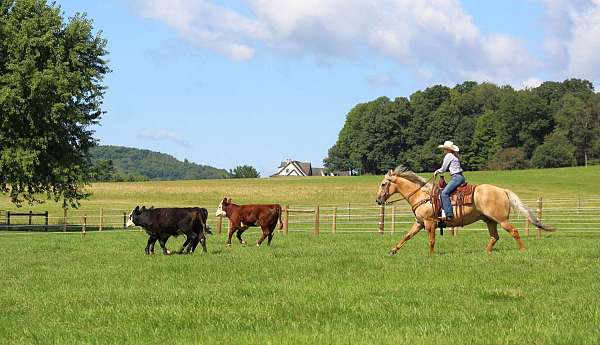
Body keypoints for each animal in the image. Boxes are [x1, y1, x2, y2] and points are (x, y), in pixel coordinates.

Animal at [376, 165, 552, 254]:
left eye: (384, 184)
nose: (378, 200)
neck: (422, 195)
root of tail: (502, 190)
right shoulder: (420, 222)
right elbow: (407, 236)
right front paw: (393, 250)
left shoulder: (430, 222)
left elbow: (431, 240)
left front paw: (431, 256)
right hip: (490, 220)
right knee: (494, 237)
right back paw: (485, 252)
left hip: (501, 219)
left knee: (513, 232)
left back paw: (522, 250)